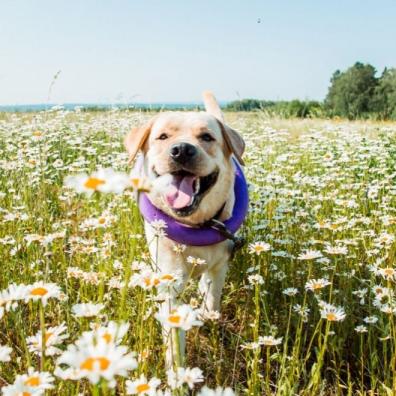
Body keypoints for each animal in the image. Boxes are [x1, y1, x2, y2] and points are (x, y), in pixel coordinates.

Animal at [124, 93, 244, 366]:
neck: (197, 224)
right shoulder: (170, 282)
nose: (181, 150)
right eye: (163, 137)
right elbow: (173, 338)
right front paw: (176, 369)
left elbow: (212, 299)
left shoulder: (219, 267)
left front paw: (210, 321)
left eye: (207, 137)